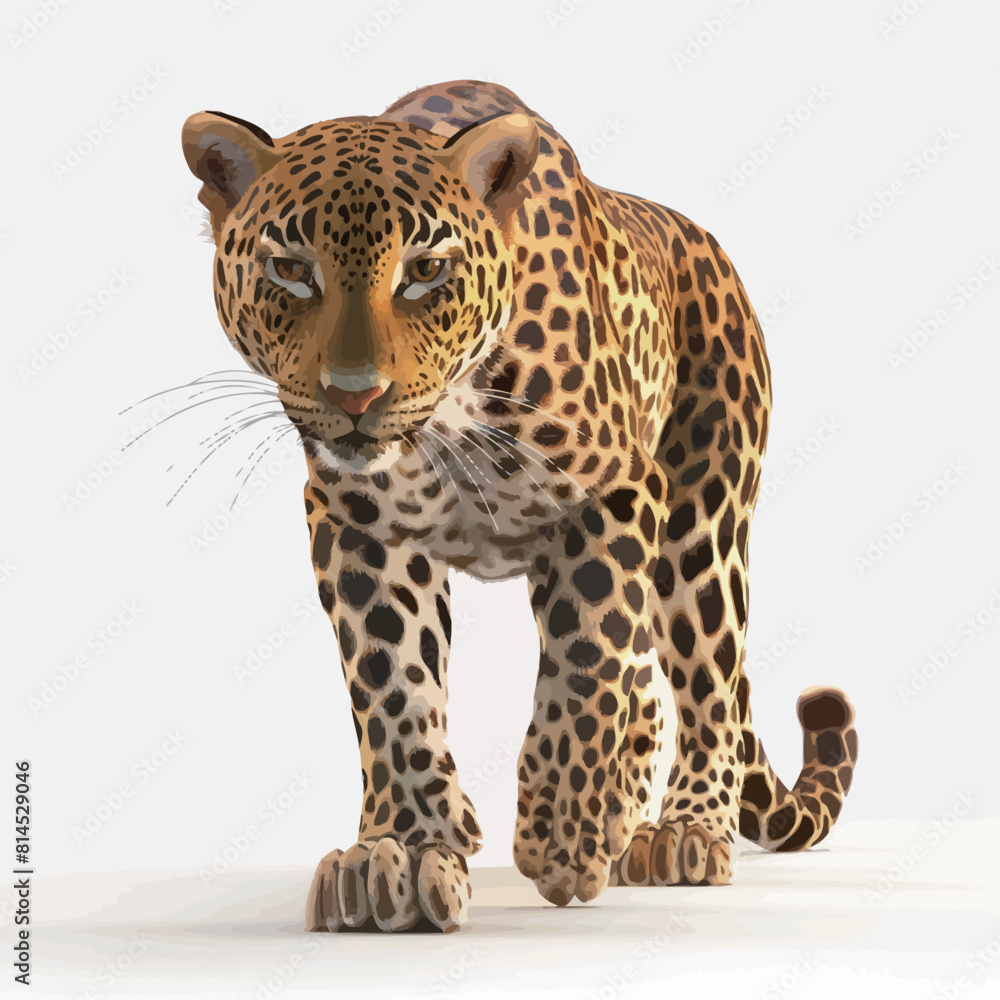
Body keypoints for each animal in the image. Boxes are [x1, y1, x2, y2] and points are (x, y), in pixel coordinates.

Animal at [181, 79, 859, 933]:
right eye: (291, 270)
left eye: (426, 270)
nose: (356, 396)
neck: (444, 427)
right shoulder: (359, 525)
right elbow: (393, 688)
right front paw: (400, 851)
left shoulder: (614, 493)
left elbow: (588, 658)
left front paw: (563, 833)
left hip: (703, 522)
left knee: (705, 684)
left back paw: (684, 830)